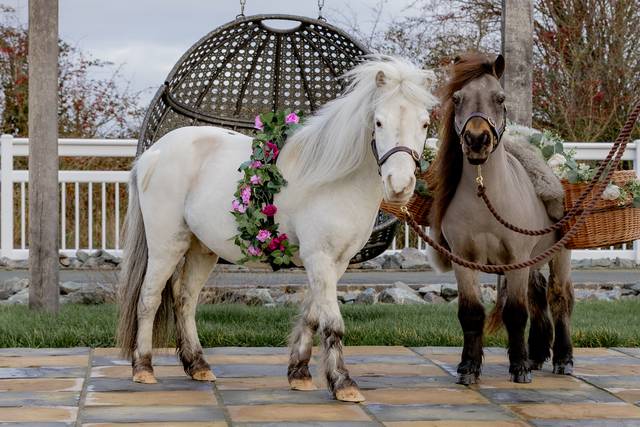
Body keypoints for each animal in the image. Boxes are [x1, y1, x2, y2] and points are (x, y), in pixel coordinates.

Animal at [117, 55, 439, 402]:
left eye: (424, 123)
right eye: (378, 122)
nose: (400, 185)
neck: (335, 180)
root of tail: (153, 153)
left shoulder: (335, 263)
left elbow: (313, 315)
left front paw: (300, 373)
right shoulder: (319, 257)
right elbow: (332, 322)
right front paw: (343, 383)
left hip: (202, 249)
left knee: (185, 299)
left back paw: (197, 365)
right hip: (166, 244)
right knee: (149, 298)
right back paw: (143, 368)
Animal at [427, 52, 574, 385]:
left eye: (500, 97)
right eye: (457, 98)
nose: (476, 140)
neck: (485, 198)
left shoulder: (516, 259)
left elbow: (516, 313)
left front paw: (518, 367)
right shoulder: (463, 260)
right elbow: (471, 313)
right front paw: (469, 367)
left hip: (559, 255)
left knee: (558, 298)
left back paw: (563, 359)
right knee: (538, 295)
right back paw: (537, 354)